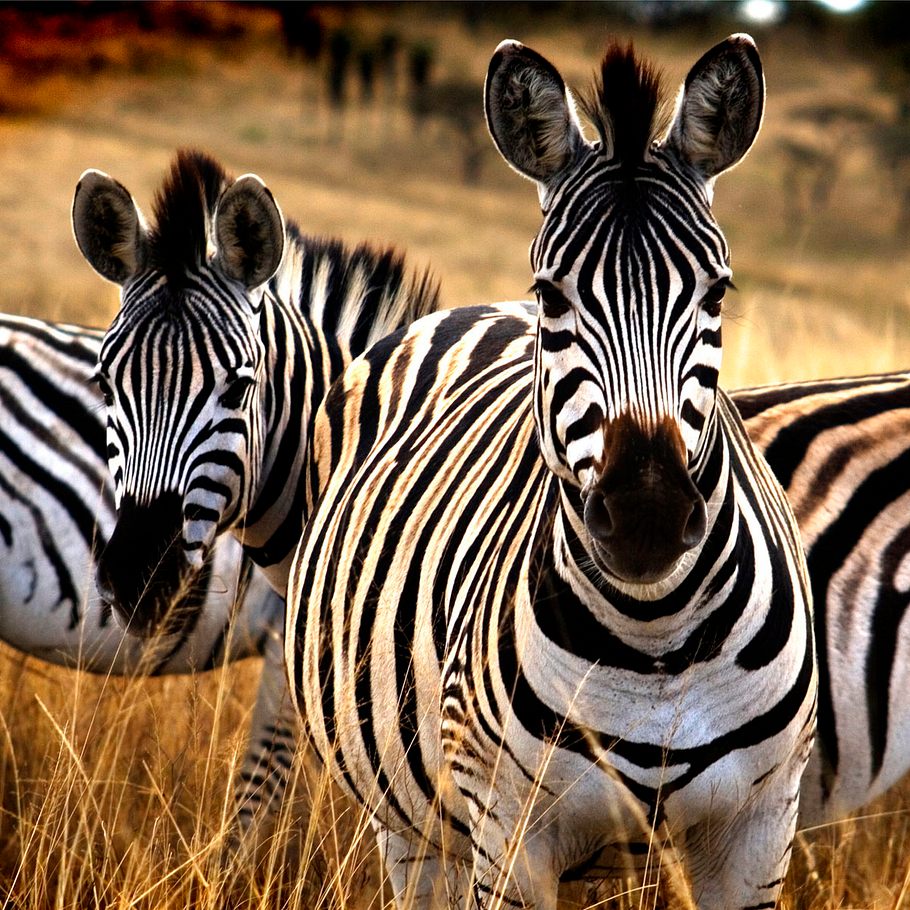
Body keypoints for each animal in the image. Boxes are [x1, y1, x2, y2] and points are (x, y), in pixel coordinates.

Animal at [287, 35, 816, 909]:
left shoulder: (759, 829)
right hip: (408, 820)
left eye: (717, 292)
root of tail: (465, 310)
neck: (656, 638)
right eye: (552, 295)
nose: (645, 516)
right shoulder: (509, 834)